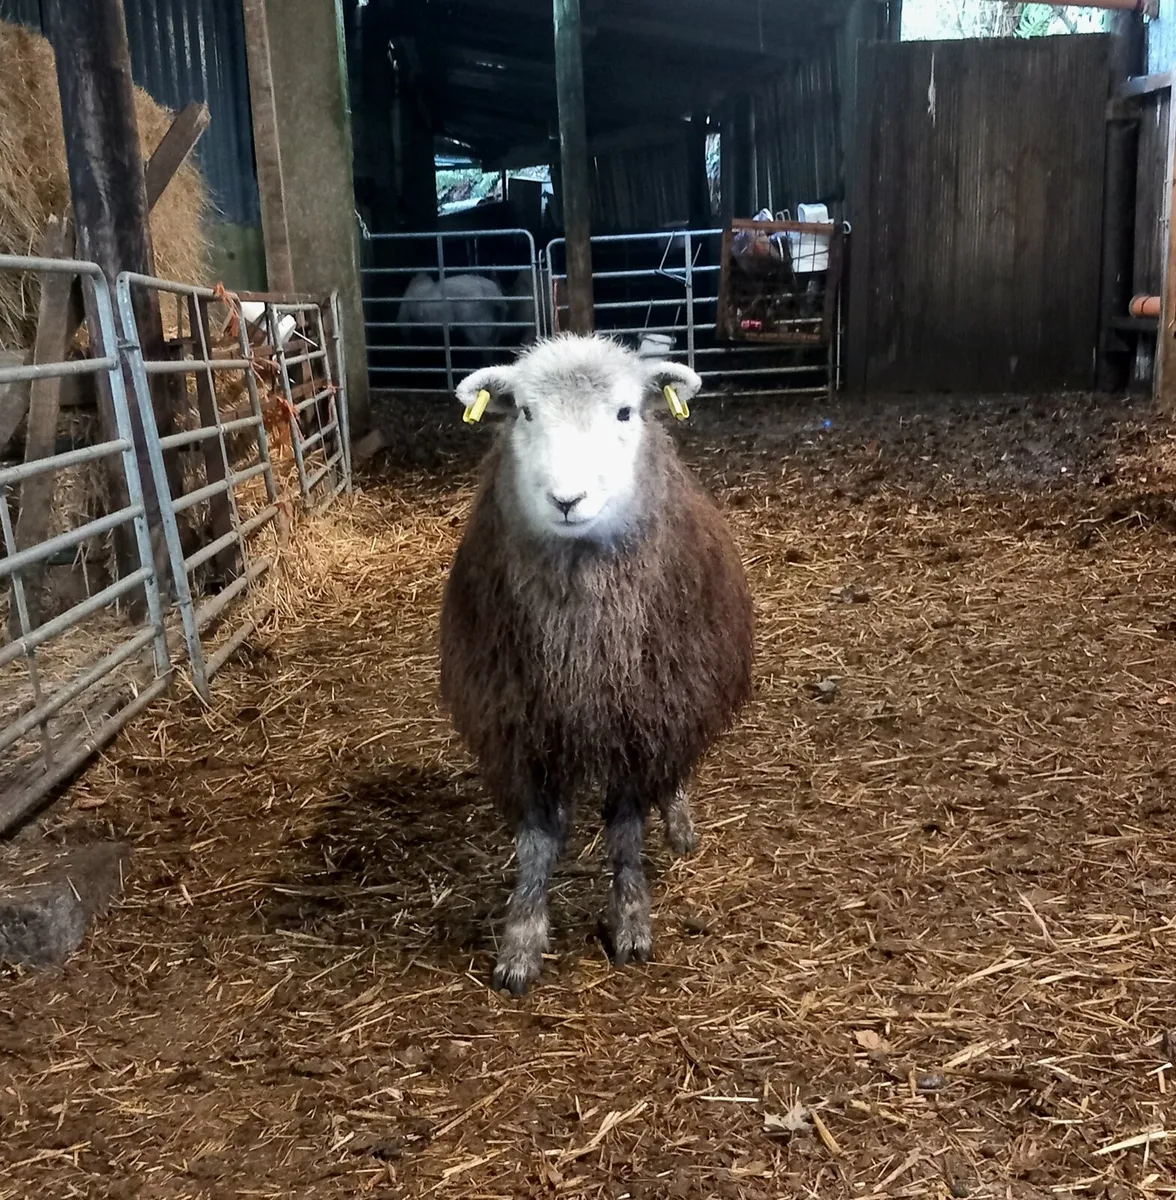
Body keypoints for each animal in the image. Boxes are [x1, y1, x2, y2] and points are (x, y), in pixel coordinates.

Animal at [439, 334, 754, 994]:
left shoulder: (643, 721)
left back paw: (679, 824)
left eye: (626, 412)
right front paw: (522, 939)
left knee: (672, 776)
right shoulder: (522, 727)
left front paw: (631, 921)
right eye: (524, 413)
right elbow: (536, 844)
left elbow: (626, 834)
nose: (567, 499)